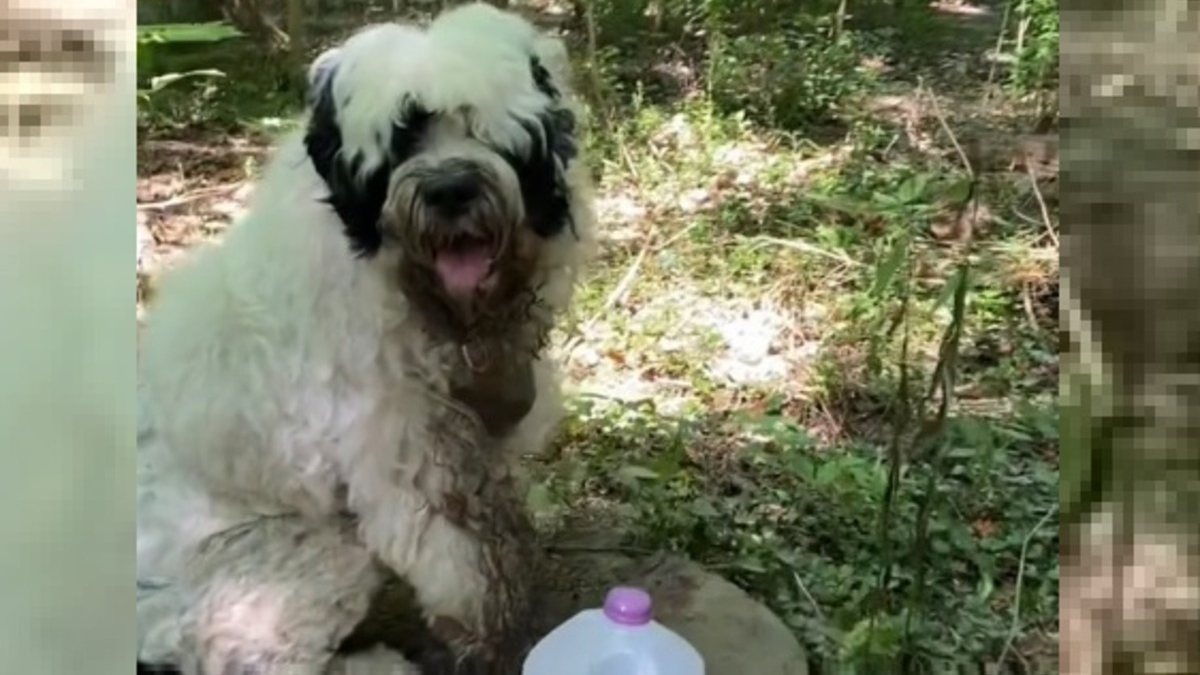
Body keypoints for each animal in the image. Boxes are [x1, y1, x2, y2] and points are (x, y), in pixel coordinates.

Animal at [135, 2, 595, 667]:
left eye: (482, 128)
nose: (450, 191)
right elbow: (467, 565)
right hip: (298, 562)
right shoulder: (405, 450)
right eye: (403, 136)